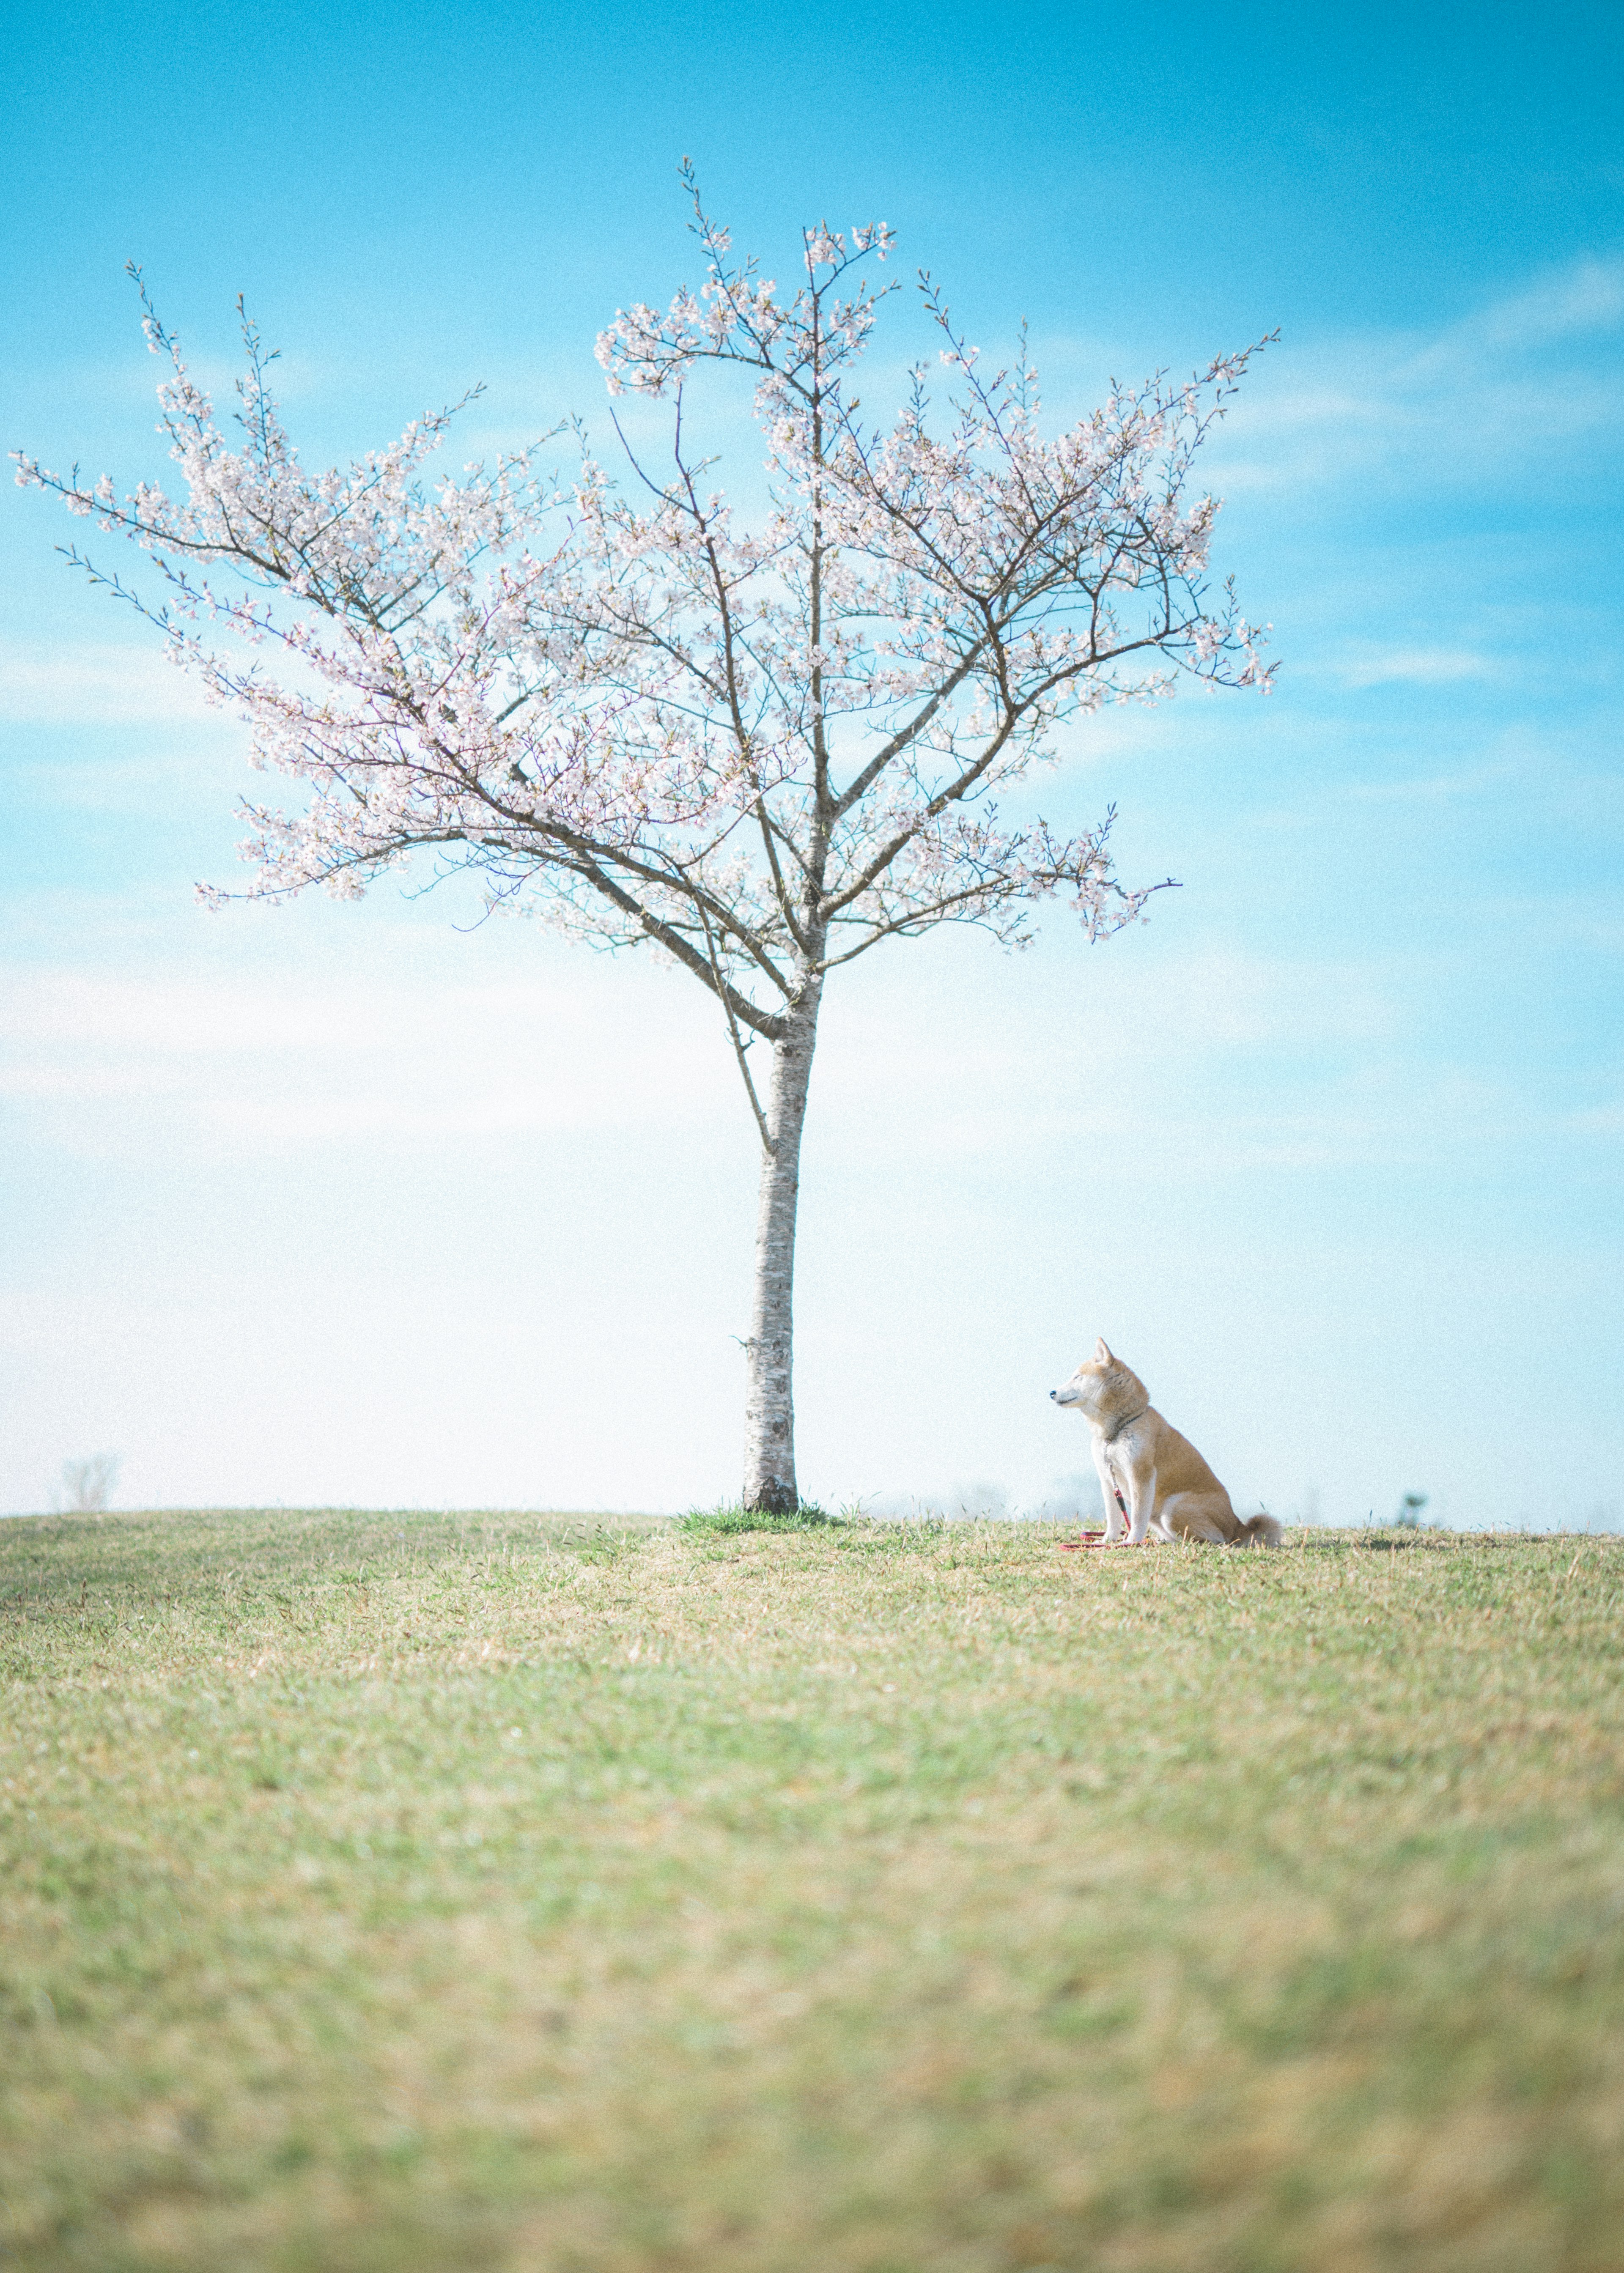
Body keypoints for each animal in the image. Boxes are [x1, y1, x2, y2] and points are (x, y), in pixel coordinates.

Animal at [1051, 1336, 1273, 1555]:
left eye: (1077, 1377)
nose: (1052, 1392)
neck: (1118, 1429)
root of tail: (1238, 1526)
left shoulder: (1140, 1474)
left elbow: (1137, 1517)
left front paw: (1131, 1541)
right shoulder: (1108, 1479)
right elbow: (1113, 1518)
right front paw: (1107, 1541)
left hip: (1172, 1508)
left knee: (1217, 1540)